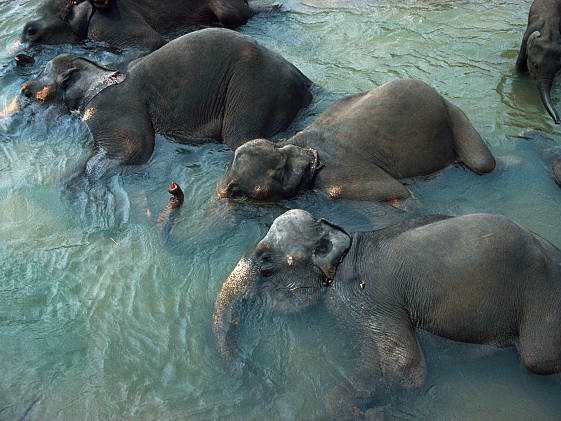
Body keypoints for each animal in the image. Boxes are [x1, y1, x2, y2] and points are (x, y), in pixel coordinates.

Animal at [17, 27, 312, 181]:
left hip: (253, 89)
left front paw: (76, 178)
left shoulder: (111, 108)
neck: (102, 74)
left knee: (238, 138)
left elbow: (136, 149)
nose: (24, 89)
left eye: (30, 93)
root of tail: (304, 83)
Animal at [213, 209, 560, 416]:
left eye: (265, 262)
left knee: (537, 360)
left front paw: (360, 411)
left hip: (543, 304)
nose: (259, 382)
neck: (347, 243)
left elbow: (406, 367)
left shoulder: (363, 298)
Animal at [219, 79, 494, 204]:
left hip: (455, 117)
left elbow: (397, 192)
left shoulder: (338, 178)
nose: (311, 158)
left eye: (281, 152)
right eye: (281, 171)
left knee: (484, 164)